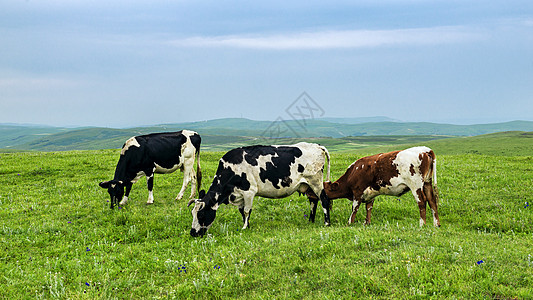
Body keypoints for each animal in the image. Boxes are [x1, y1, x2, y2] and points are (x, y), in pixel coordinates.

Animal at [186, 142, 328, 238]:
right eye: (192, 214)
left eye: (201, 215)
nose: (193, 233)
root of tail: (316, 145)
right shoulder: (239, 195)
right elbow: (242, 211)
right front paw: (247, 225)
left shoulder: (249, 191)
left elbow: (247, 211)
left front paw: (244, 227)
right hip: (308, 185)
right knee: (313, 201)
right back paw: (311, 221)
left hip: (316, 182)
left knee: (324, 199)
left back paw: (327, 223)